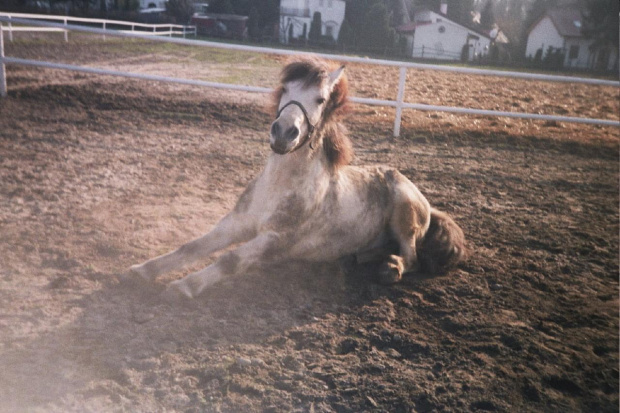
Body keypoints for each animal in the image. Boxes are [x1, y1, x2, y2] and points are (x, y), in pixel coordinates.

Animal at [132, 55, 470, 300]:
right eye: (285, 90)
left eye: (320, 99)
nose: (283, 133)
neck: (278, 187)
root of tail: (425, 201)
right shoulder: (236, 223)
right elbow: (191, 247)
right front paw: (140, 270)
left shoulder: (276, 239)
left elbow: (230, 260)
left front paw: (183, 287)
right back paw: (357, 258)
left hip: (404, 214)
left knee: (411, 257)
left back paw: (390, 268)